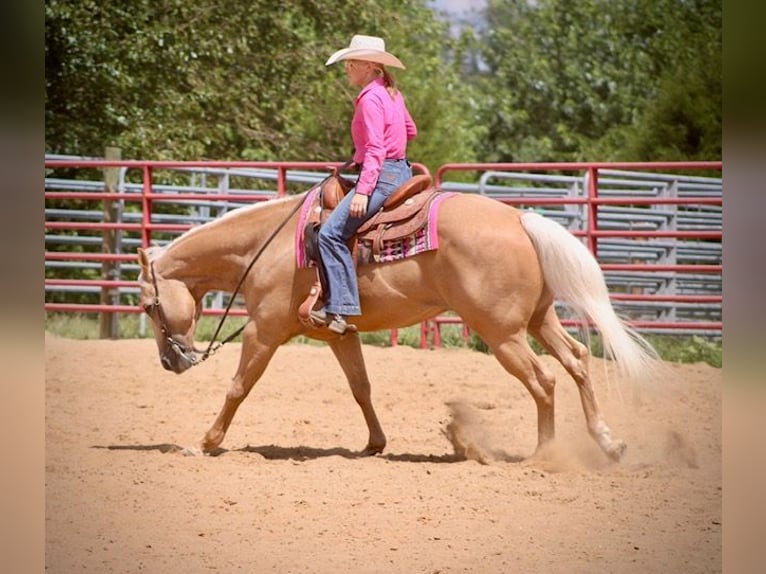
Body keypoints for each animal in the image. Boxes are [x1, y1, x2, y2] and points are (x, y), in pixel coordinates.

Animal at [137, 183, 659, 462]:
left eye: (146, 306)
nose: (169, 362)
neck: (269, 245)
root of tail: (519, 221)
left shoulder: (262, 332)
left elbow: (238, 386)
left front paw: (205, 442)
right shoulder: (336, 334)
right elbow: (361, 388)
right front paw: (374, 444)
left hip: (503, 334)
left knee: (544, 379)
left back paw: (545, 456)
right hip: (538, 320)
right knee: (578, 360)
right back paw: (608, 443)